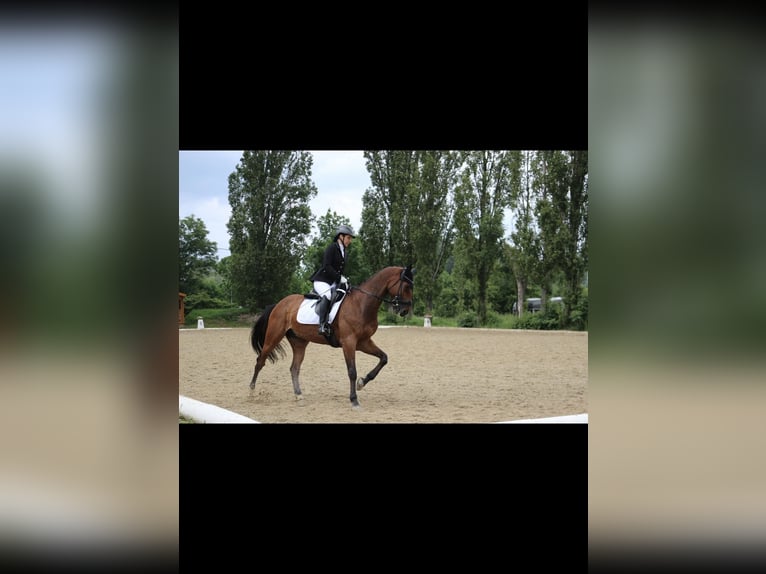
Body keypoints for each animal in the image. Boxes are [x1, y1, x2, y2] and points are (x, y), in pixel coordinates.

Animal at [249, 265, 414, 409]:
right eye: (407, 286)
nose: (405, 310)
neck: (362, 304)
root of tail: (279, 304)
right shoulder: (349, 342)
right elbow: (352, 371)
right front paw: (354, 400)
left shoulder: (363, 342)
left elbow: (383, 358)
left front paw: (362, 382)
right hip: (273, 337)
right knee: (260, 361)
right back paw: (251, 392)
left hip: (299, 342)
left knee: (294, 368)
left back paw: (299, 395)